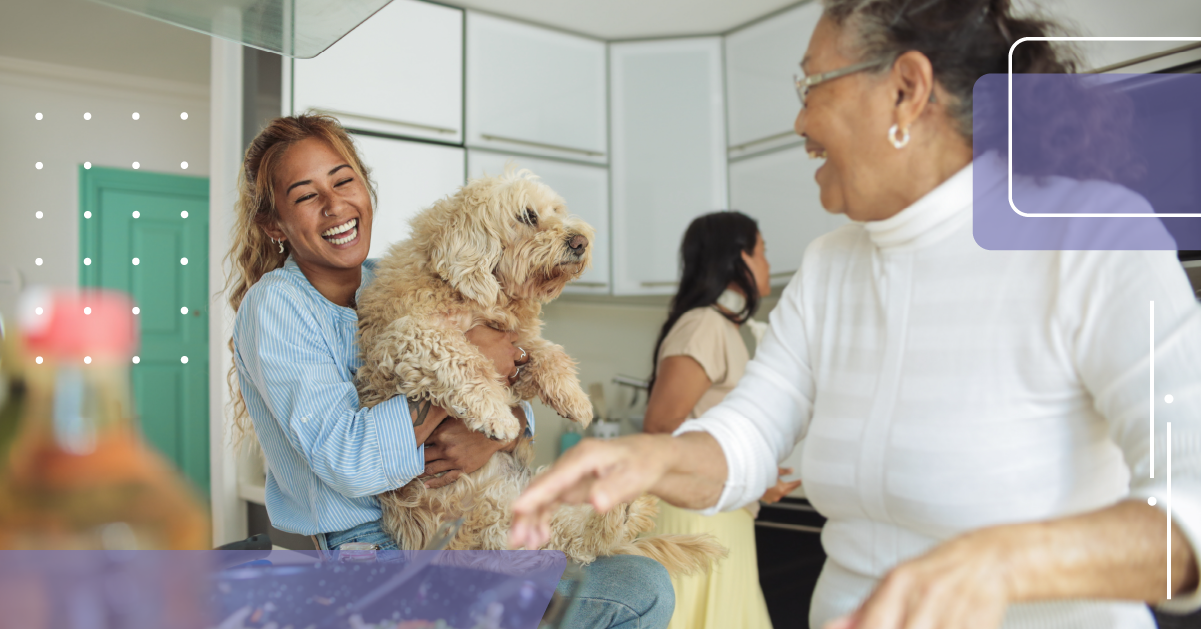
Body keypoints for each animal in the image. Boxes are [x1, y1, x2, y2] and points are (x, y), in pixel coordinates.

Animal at [353, 168, 720, 573]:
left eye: (556, 210)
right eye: (527, 216)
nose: (580, 241)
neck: (482, 296)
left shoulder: (519, 347)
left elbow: (551, 353)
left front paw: (576, 401)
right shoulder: (402, 337)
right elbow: (460, 354)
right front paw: (497, 416)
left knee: (584, 539)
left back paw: (626, 504)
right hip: (492, 523)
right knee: (579, 542)